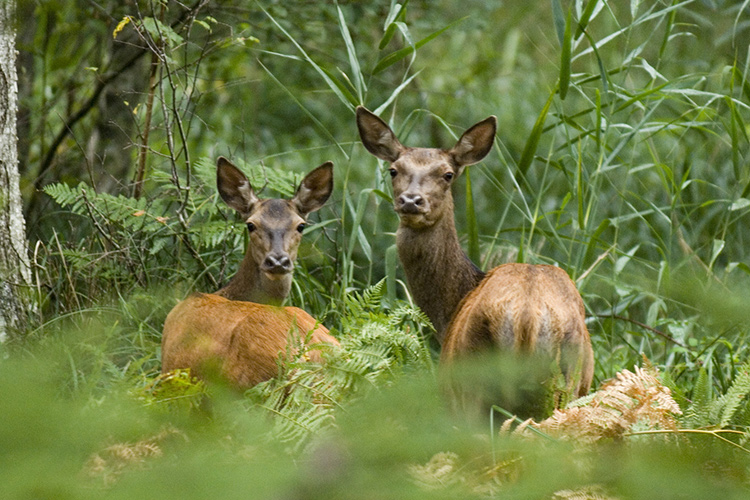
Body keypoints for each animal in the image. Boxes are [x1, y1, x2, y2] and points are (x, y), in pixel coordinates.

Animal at [356, 107, 596, 420]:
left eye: (447, 174)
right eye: (393, 170)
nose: (411, 201)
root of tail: (527, 318)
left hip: (473, 382)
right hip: (567, 383)